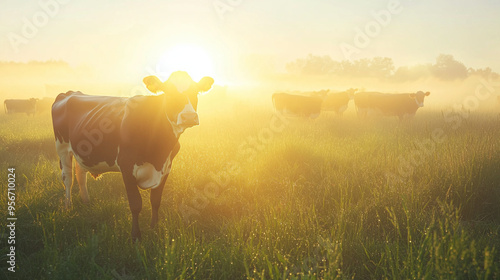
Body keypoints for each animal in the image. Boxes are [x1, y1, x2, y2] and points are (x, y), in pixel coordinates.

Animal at [51, 71, 214, 240]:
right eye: (169, 93)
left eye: (196, 92)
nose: (189, 116)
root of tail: (70, 93)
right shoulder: (127, 167)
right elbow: (136, 204)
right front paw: (136, 236)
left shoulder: (166, 167)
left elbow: (156, 201)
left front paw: (154, 228)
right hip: (62, 148)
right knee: (68, 178)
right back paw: (68, 206)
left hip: (82, 153)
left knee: (81, 174)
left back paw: (86, 201)